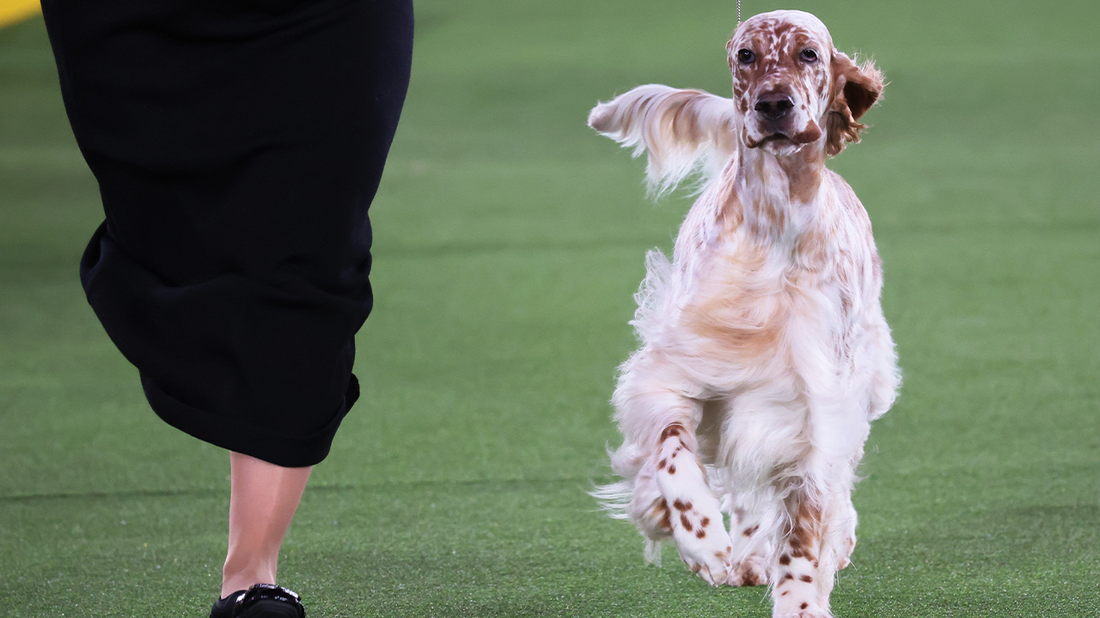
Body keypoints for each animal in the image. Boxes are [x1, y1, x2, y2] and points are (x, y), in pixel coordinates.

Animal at [589, 9, 897, 615]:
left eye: (808, 53)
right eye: (746, 55)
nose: (773, 105)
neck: (776, 223)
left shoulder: (814, 401)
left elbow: (805, 521)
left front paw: (800, 598)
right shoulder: (685, 368)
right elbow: (673, 454)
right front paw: (701, 540)